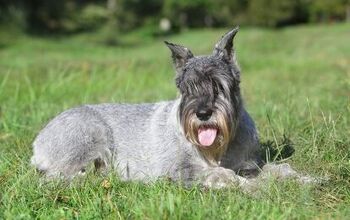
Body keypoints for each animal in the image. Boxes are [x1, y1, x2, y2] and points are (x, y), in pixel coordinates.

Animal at [30, 27, 314, 190]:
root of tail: (39, 139)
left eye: (219, 85)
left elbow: (275, 169)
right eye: (186, 88)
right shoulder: (179, 171)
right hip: (91, 137)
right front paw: (254, 187)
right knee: (54, 177)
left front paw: (304, 179)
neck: (221, 148)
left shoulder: (248, 163)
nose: (203, 113)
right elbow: (223, 175)